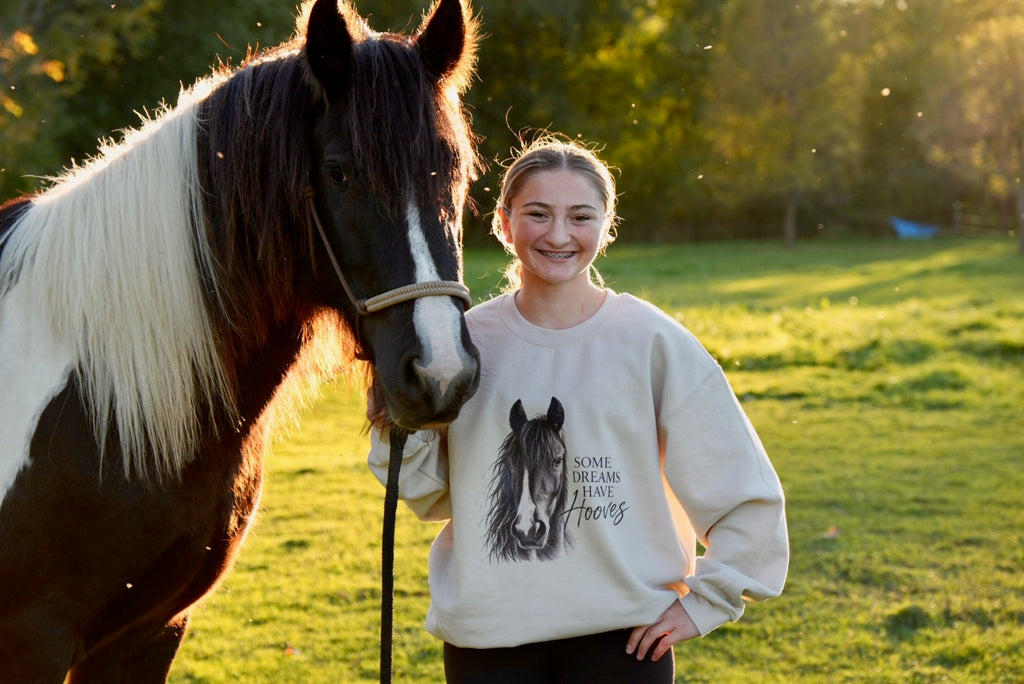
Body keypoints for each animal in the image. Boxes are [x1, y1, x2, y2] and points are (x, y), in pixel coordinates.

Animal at [0, 0, 480, 680]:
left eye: (455, 168)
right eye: (339, 173)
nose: (441, 373)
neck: (98, 400)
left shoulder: (147, 631)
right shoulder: (31, 638)